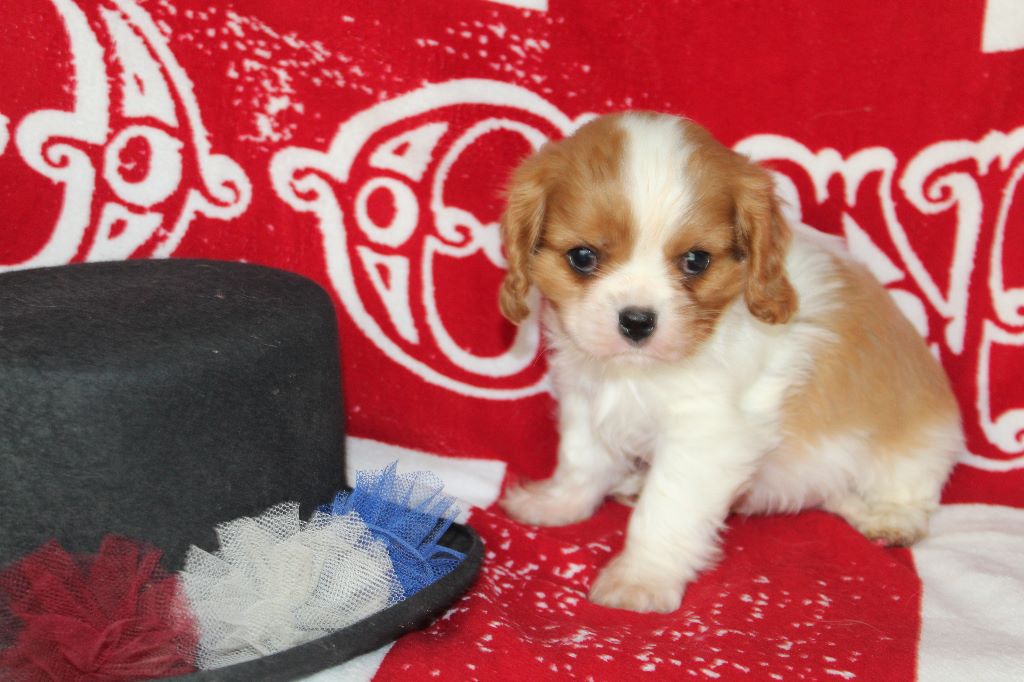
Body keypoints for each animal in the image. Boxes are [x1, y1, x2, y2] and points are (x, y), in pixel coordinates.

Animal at [497, 112, 962, 614]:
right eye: (582, 257)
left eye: (696, 261)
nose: (637, 321)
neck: (638, 372)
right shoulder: (585, 395)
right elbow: (581, 460)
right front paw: (558, 504)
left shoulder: (707, 434)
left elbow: (666, 507)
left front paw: (641, 578)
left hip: (912, 446)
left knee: (905, 489)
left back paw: (888, 517)